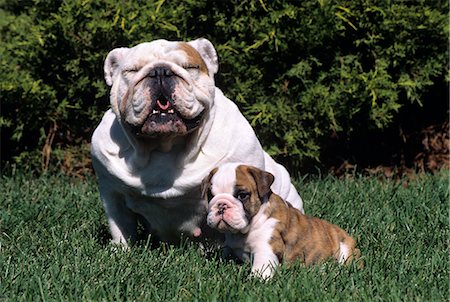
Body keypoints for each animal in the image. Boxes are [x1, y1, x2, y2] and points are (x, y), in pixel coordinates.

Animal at [91, 38, 302, 245]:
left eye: (189, 67)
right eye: (132, 70)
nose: (160, 71)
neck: (166, 145)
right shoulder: (112, 194)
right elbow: (121, 229)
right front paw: (122, 250)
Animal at [204, 164, 362, 280]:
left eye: (242, 195)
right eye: (210, 195)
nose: (221, 205)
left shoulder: (266, 248)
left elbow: (260, 267)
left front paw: (255, 281)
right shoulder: (230, 247)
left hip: (345, 250)